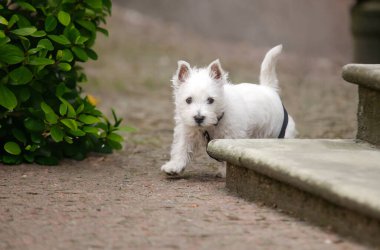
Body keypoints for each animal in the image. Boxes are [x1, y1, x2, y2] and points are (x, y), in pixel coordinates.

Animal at [160, 46, 296, 177]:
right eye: (188, 100)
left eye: (210, 100)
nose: (199, 118)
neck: (214, 123)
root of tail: (269, 89)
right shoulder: (187, 132)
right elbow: (181, 148)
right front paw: (174, 167)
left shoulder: (231, 137)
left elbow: (228, 157)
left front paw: (226, 172)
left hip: (278, 132)